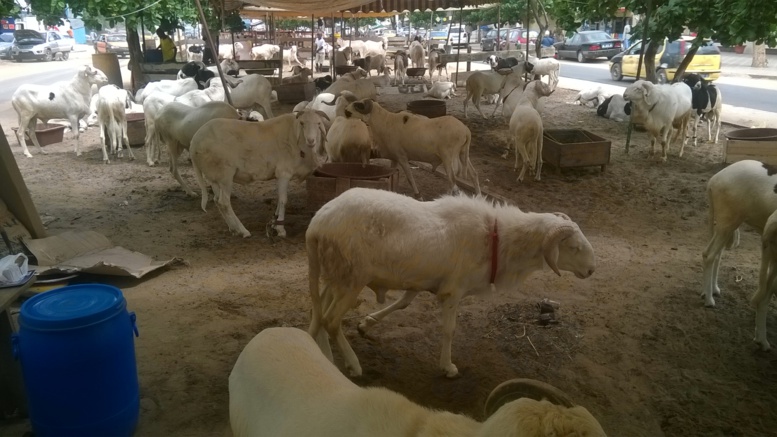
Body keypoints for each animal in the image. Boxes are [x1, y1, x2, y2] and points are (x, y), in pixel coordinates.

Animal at [190, 109, 329, 238]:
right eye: (302, 123)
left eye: (318, 123)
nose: (311, 140)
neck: (296, 139)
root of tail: (194, 142)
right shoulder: (284, 173)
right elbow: (283, 200)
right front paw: (281, 230)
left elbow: (279, 200)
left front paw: (274, 223)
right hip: (225, 175)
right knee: (224, 203)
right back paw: (243, 231)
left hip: (213, 176)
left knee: (217, 201)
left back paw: (233, 229)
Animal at [307, 188, 596, 377]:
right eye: (573, 247)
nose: (592, 270)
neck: (497, 239)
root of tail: (317, 223)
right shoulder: (453, 291)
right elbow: (449, 330)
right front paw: (448, 367)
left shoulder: (422, 280)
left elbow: (403, 303)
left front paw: (367, 324)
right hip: (351, 277)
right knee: (330, 320)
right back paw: (353, 365)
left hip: (337, 274)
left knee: (319, 312)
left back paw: (324, 356)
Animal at [344, 99, 480, 198]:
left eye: (358, 105)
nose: (345, 111)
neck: (385, 121)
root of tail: (466, 131)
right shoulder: (394, 157)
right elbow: (391, 171)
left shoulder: (402, 157)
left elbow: (410, 177)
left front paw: (418, 195)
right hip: (463, 154)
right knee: (473, 174)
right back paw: (478, 195)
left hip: (448, 157)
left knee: (453, 180)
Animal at [701, 160, 777, 308]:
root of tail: (714, 180)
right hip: (728, 221)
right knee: (710, 255)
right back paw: (709, 300)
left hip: (727, 225)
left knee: (716, 254)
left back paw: (713, 290)